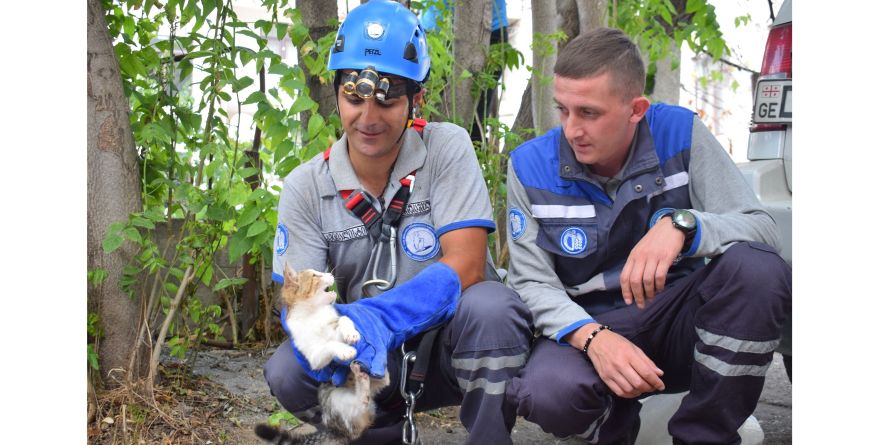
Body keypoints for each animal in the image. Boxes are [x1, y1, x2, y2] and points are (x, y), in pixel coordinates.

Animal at [258, 264, 394, 444]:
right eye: (315, 276)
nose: (330, 273)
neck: (315, 313)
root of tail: (335, 430)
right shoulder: (314, 357)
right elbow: (329, 344)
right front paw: (345, 350)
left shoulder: (335, 324)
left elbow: (343, 319)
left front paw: (351, 333)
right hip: (337, 400)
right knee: (361, 402)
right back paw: (359, 376)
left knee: (383, 381)